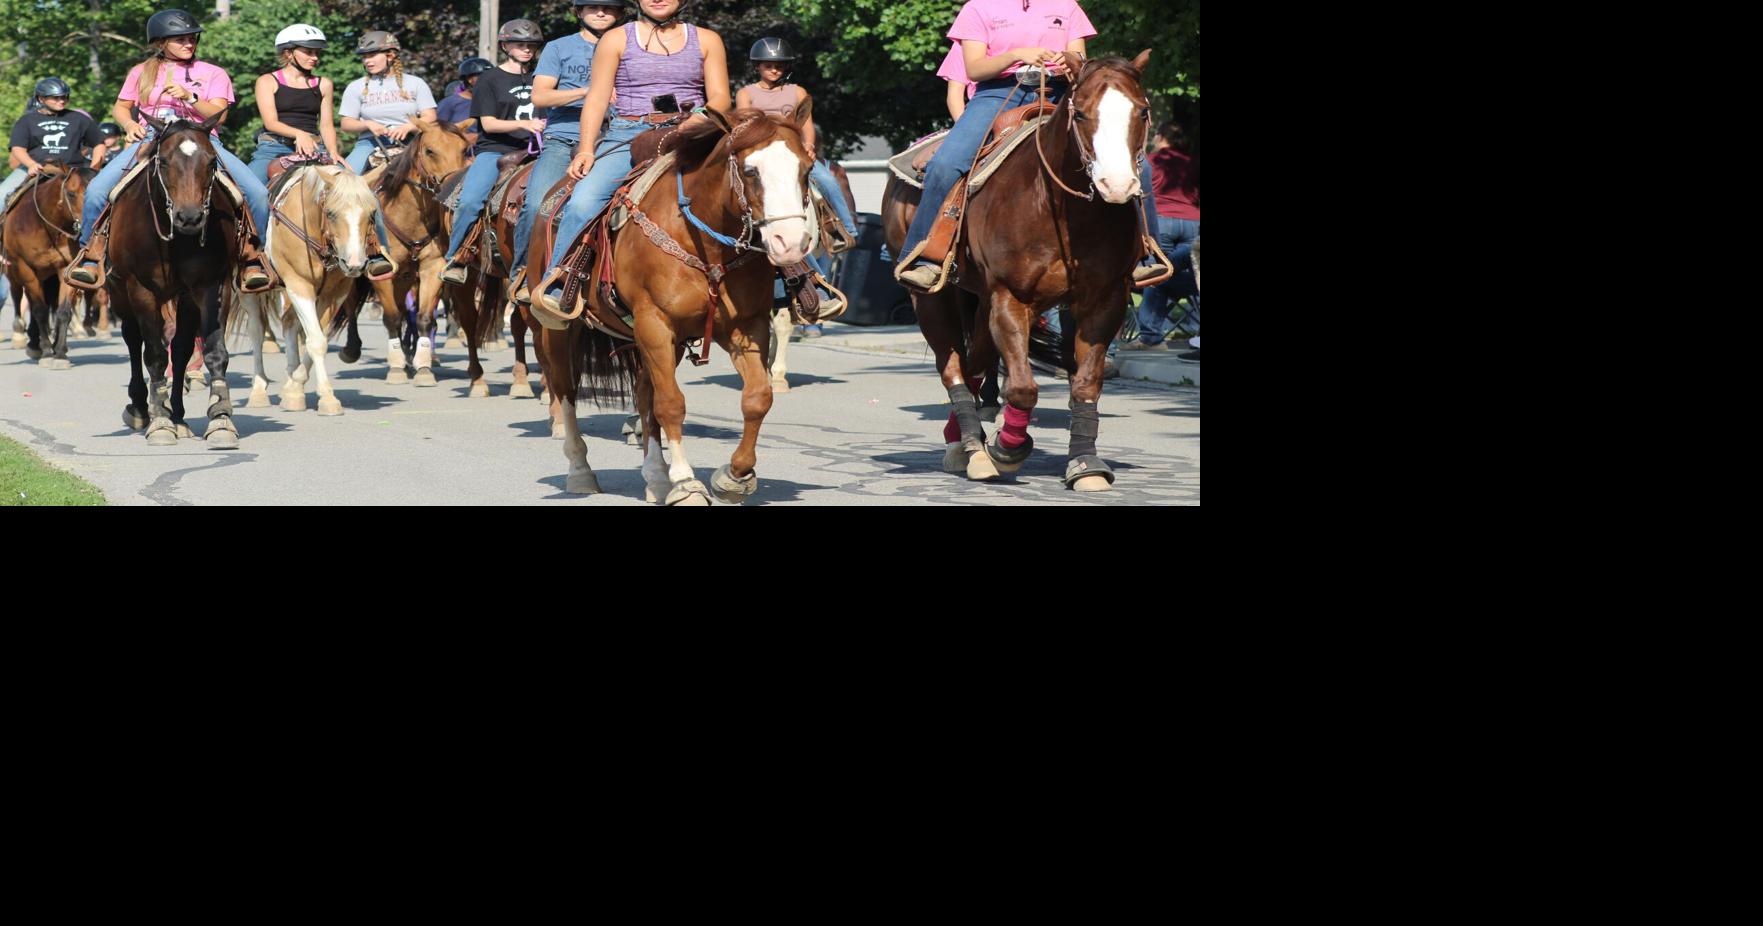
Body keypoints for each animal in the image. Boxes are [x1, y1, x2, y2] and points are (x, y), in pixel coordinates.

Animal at [2, 162, 92, 368]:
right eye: (71, 194)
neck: (46, 227)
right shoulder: (26, 270)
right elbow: (40, 311)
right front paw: (46, 352)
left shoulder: (65, 269)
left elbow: (63, 311)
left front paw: (59, 354)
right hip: (15, 273)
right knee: (19, 297)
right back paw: (26, 339)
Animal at [103, 115, 243, 448]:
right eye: (164, 161)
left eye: (211, 162)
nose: (189, 217)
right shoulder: (141, 290)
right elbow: (153, 354)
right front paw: (160, 423)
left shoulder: (211, 286)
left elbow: (214, 352)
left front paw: (220, 419)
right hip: (120, 293)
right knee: (133, 340)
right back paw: (142, 408)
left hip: (185, 298)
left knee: (180, 349)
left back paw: (178, 415)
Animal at [236, 164, 384, 412]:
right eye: (331, 213)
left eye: (372, 213)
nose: (354, 264)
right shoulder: (299, 285)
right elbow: (316, 341)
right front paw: (327, 398)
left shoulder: (334, 294)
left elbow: (317, 336)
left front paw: (294, 387)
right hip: (249, 293)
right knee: (256, 331)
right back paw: (258, 391)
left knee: (289, 324)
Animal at [535, 107, 818, 504]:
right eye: (751, 171)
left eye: (806, 169)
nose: (790, 243)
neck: (705, 239)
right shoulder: (655, 323)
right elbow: (671, 404)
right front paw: (686, 484)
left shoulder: (745, 326)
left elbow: (757, 398)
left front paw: (734, 477)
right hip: (562, 330)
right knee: (567, 389)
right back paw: (580, 470)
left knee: (643, 397)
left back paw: (655, 477)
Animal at [881, 52, 1156, 490]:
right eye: (1081, 113)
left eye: (1142, 111)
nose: (1116, 185)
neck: (1059, 206)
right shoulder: (1011, 299)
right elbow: (1024, 387)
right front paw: (1007, 450)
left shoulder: (1104, 301)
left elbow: (1085, 383)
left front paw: (1085, 463)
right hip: (931, 298)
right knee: (953, 367)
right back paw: (969, 449)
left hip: (978, 300)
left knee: (975, 364)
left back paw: (964, 438)